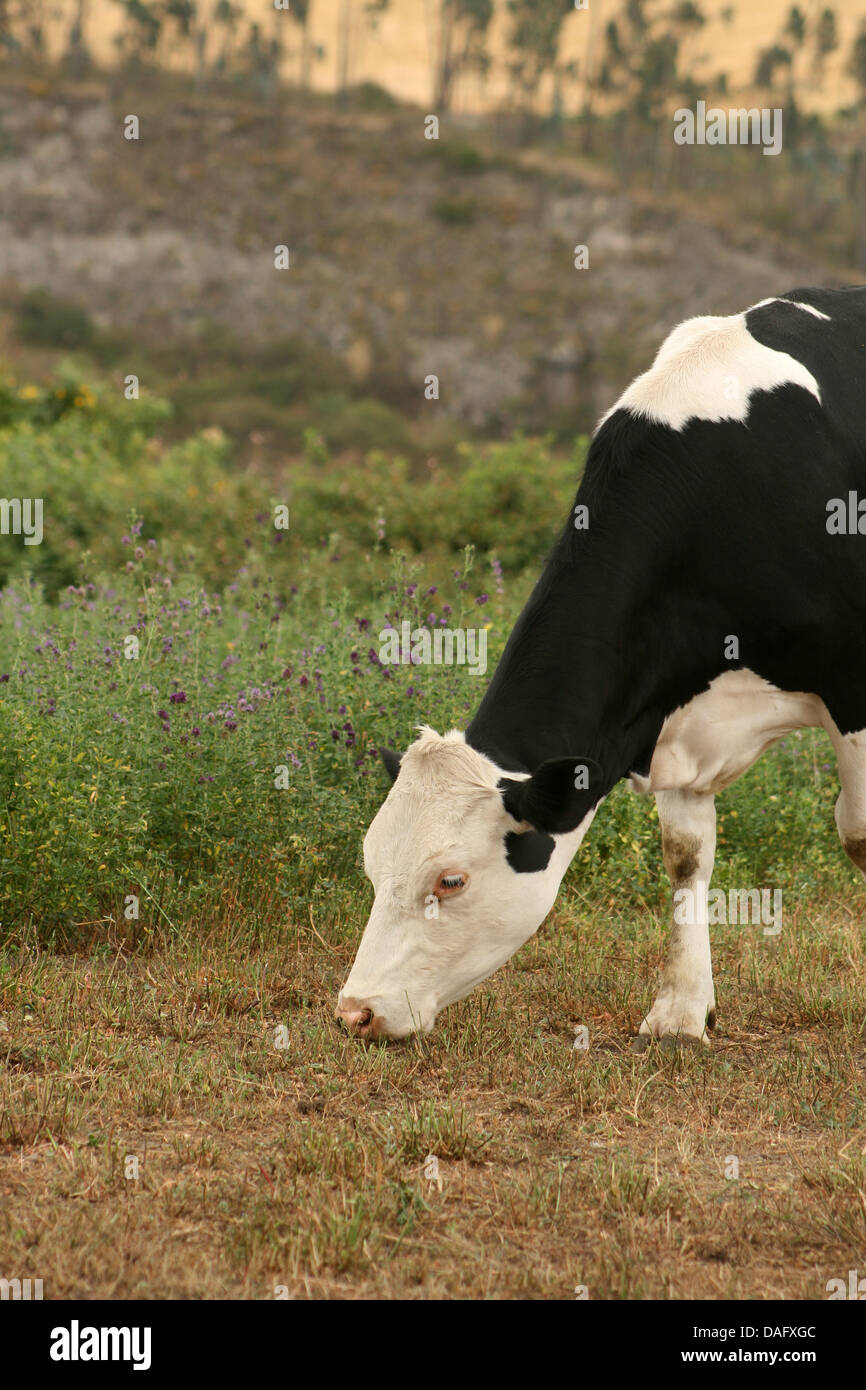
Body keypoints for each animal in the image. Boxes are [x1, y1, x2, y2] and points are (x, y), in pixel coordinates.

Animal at [337, 286, 866, 1045]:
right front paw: (680, 1012)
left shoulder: (853, 686)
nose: (356, 1011)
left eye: (450, 880)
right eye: (372, 863)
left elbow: (858, 837)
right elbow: (687, 853)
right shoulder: (668, 710)